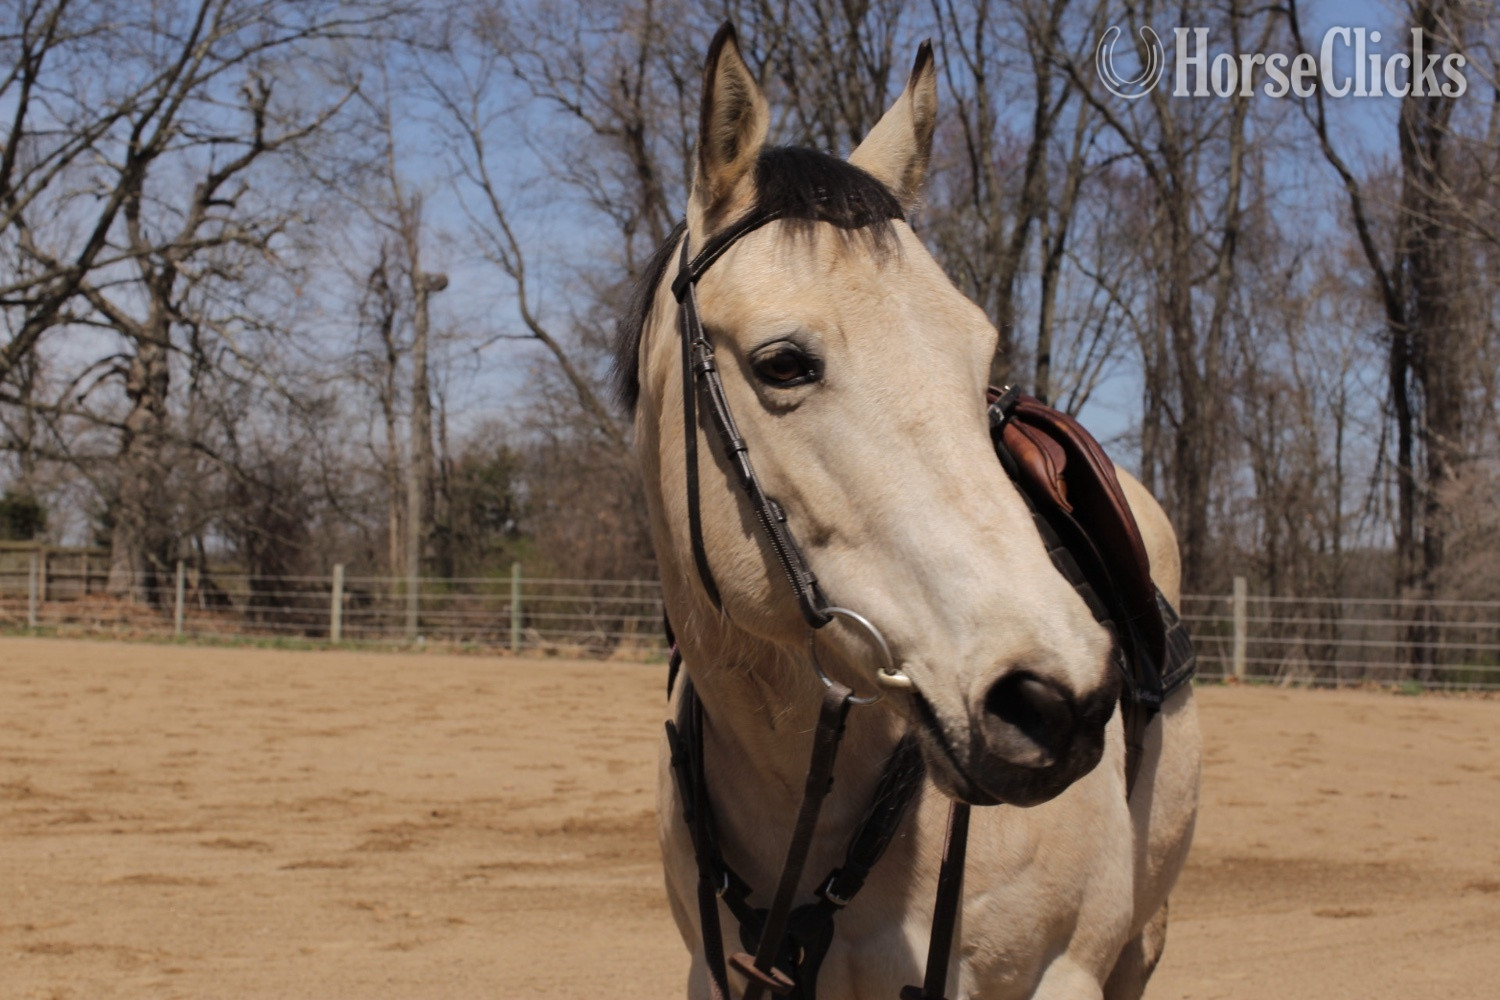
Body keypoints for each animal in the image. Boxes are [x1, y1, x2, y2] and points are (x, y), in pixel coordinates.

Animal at [614, 25, 1202, 1000]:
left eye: (977, 346)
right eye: (782, 363)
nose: (1056, 700)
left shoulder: (1060, 974)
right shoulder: (712, 971)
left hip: (1139, 939)